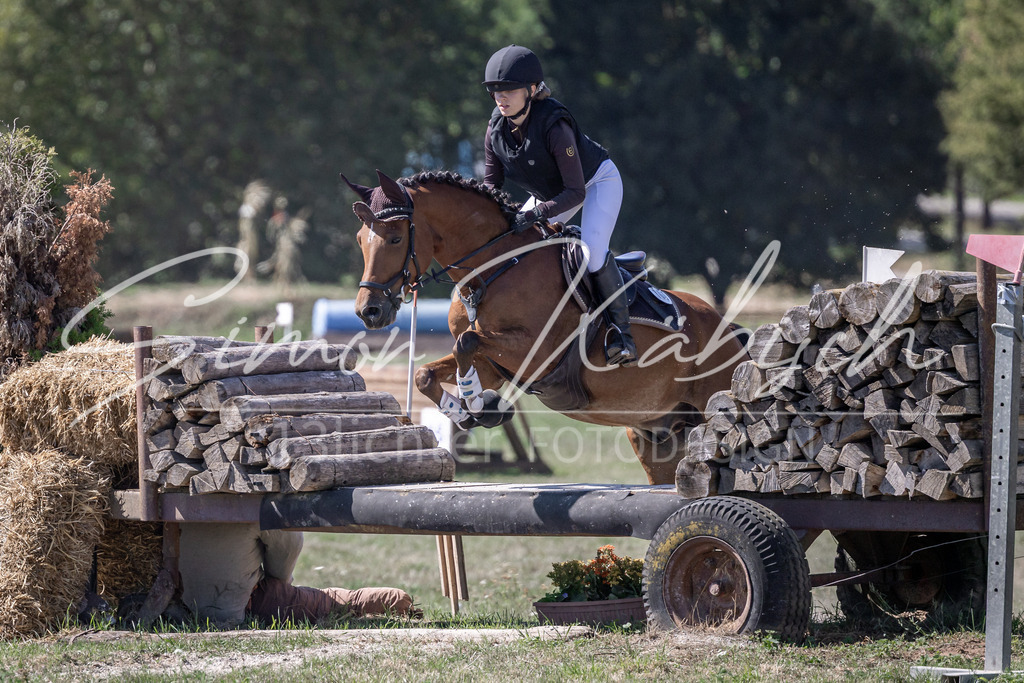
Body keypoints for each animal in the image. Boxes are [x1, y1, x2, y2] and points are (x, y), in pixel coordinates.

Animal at [341, 169, 748, 485]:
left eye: (396, 238)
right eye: (360, 239)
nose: (369, 311)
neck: (494, 269)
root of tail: (729, 333)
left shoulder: (537, 354)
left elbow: (467, 342)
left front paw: (481, 405)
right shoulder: (494, 365)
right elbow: (428, 372)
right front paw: (472, 410)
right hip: (655, 433)